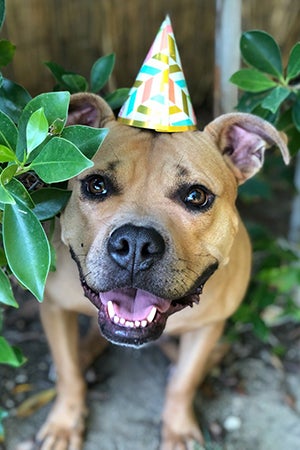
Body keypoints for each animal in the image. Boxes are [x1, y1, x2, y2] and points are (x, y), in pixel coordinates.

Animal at [31, 92, 290, 450]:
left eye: (196, 195)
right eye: (96, 185)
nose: (136, 243)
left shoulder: (208, 327)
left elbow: (184, 382)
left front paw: (178, 430)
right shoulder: (55, 308)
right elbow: (69, 373)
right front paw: (64, 423)